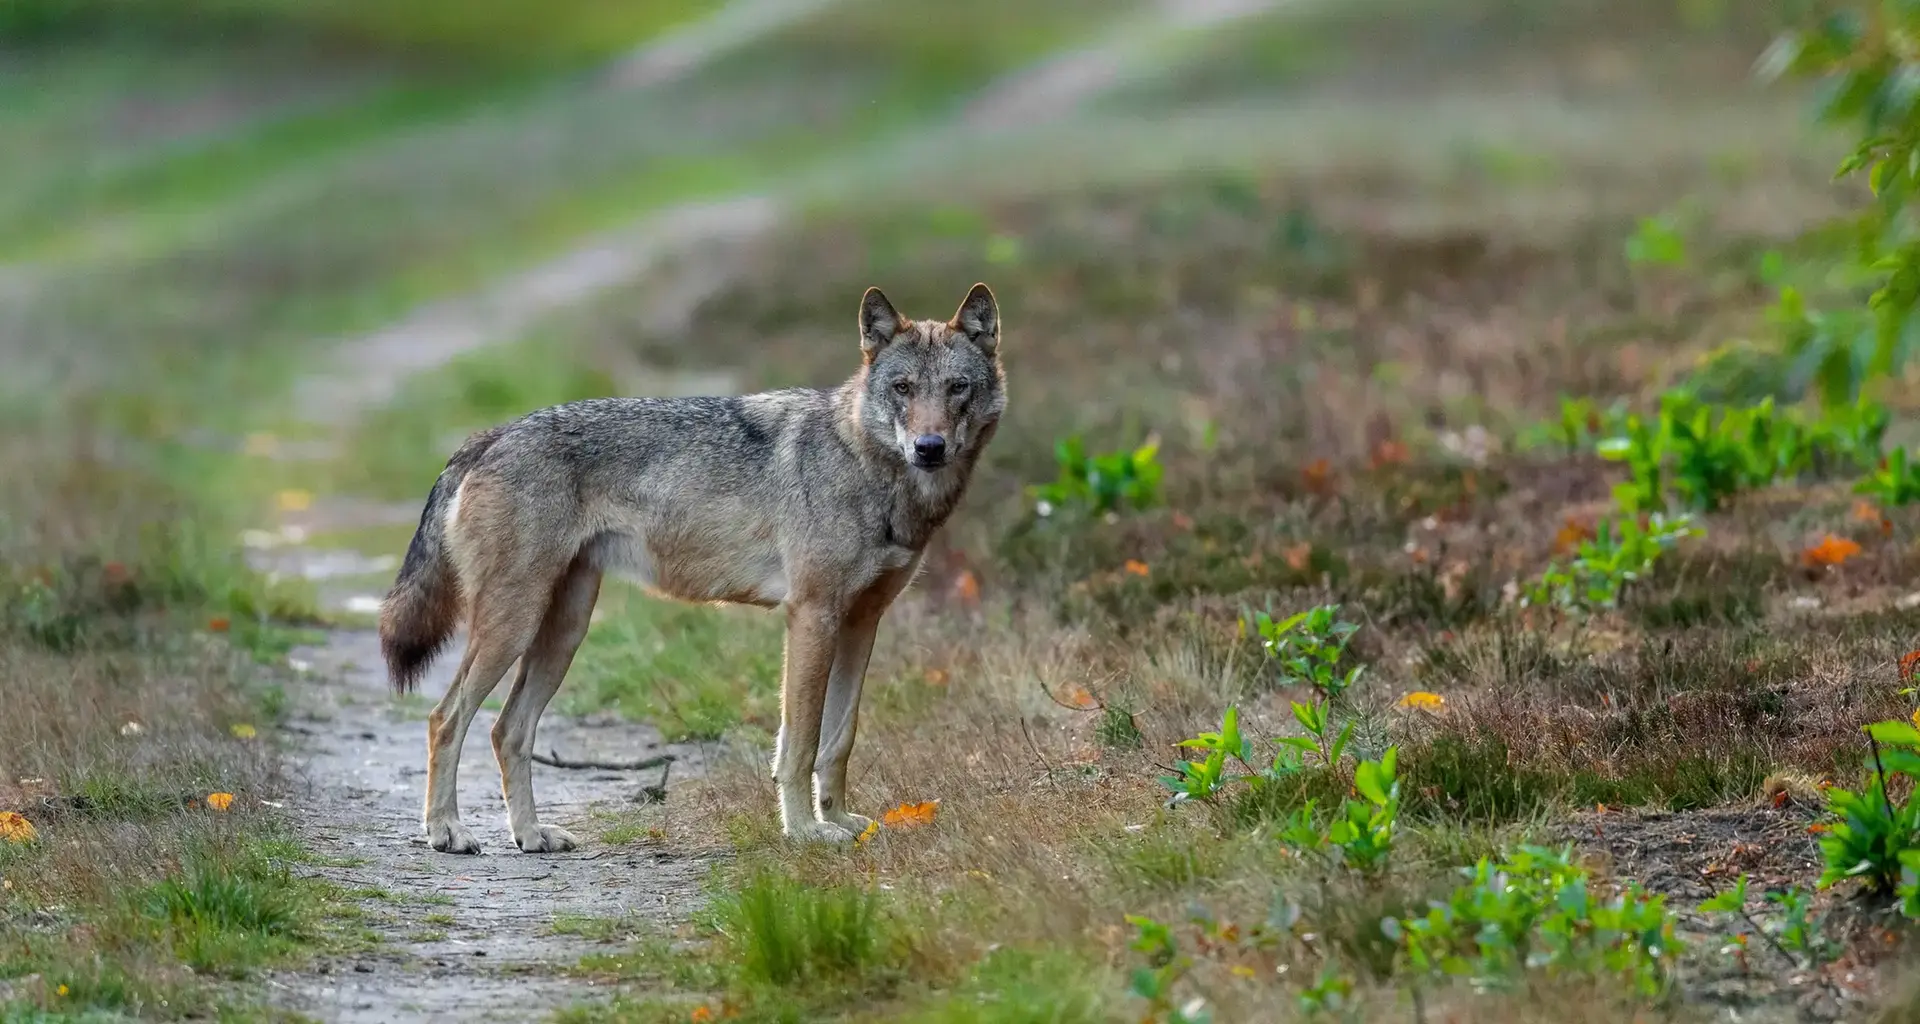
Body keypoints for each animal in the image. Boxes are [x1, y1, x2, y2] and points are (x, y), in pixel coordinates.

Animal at [378, 284, 1004, 852]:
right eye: (903, 388)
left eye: (957, 388)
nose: (929, 446)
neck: (871, 468)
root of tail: (492, 434)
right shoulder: (811, 616)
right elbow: (799, 743)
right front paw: (805, 832)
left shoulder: (861, 622)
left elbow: (839, 738)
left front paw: (842, 822)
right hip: (513, 625)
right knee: (444, 718)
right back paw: (447, 831)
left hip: (563, 631)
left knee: (507, 729)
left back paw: (531, 835)